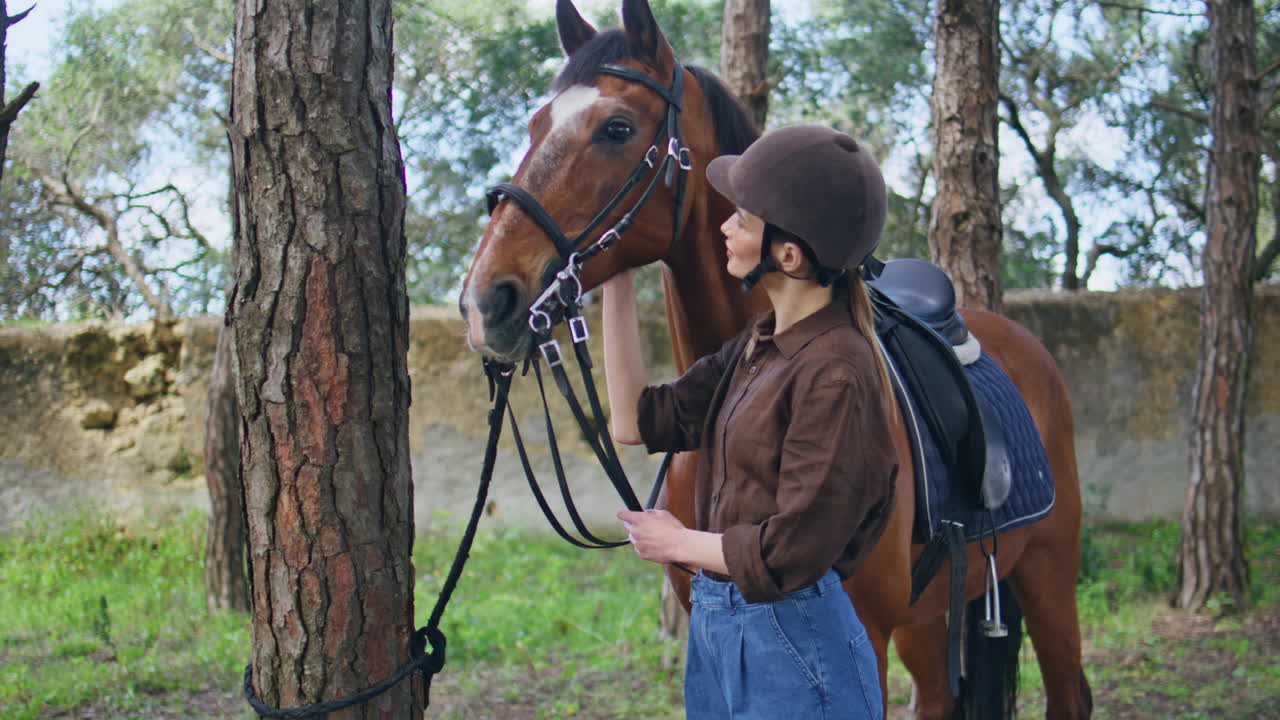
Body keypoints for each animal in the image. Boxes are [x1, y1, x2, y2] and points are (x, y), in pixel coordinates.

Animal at [459, 1, 1092, 717]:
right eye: (536, 125)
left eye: (616, 128)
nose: (485, 301)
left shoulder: (866, 639)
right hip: (930, 618)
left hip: (1048, 572)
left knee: (1069, 689)